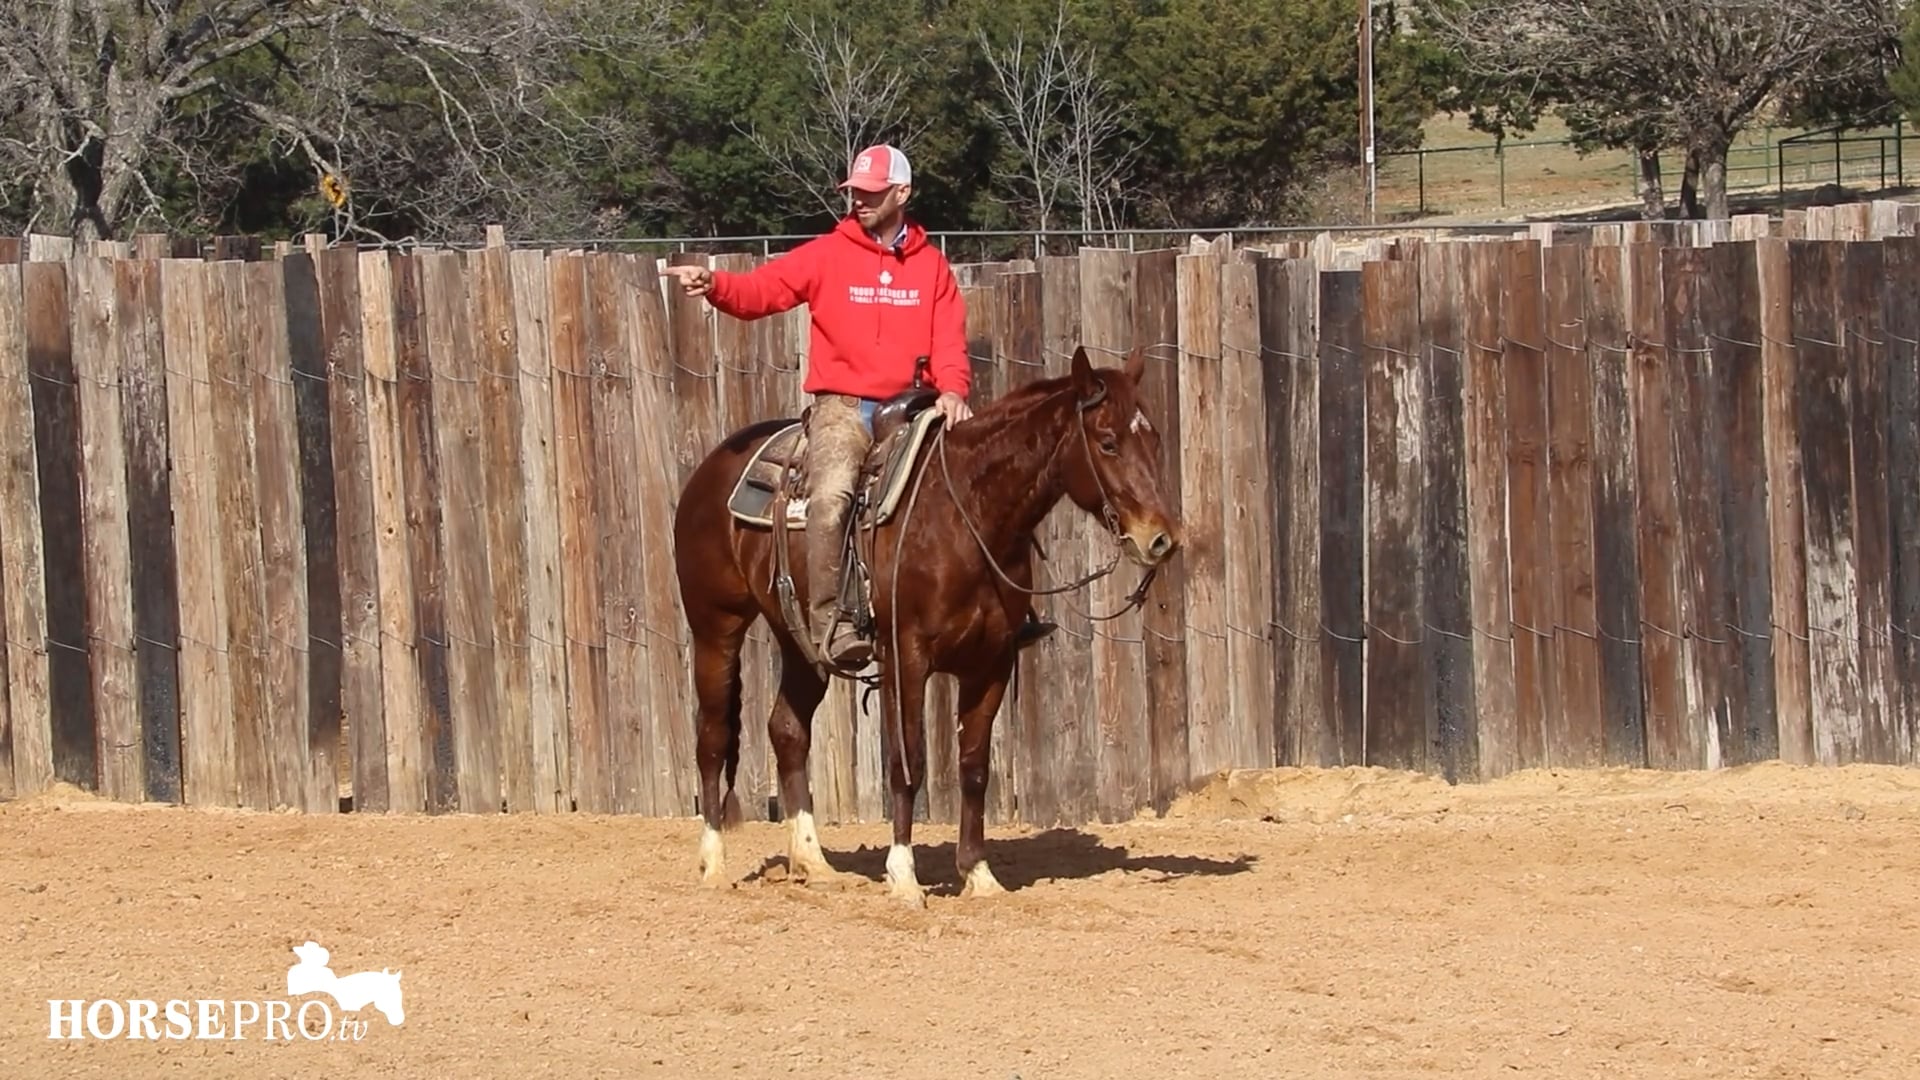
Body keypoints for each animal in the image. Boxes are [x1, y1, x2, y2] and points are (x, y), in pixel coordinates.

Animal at [671, 342, 1183, 906]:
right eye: (1108, 442)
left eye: (1154, 438)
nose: (1161, 539)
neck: (963, 515)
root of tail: (714, 467)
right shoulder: (906, 659)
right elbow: (908, 763)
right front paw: (903, 876)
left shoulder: (992, 664)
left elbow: (974, 768)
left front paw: (979, 874)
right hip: (715, 626)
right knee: (713, 736)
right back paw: (713, 864)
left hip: (801, 640)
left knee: (787, 729)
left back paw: (813, 862)